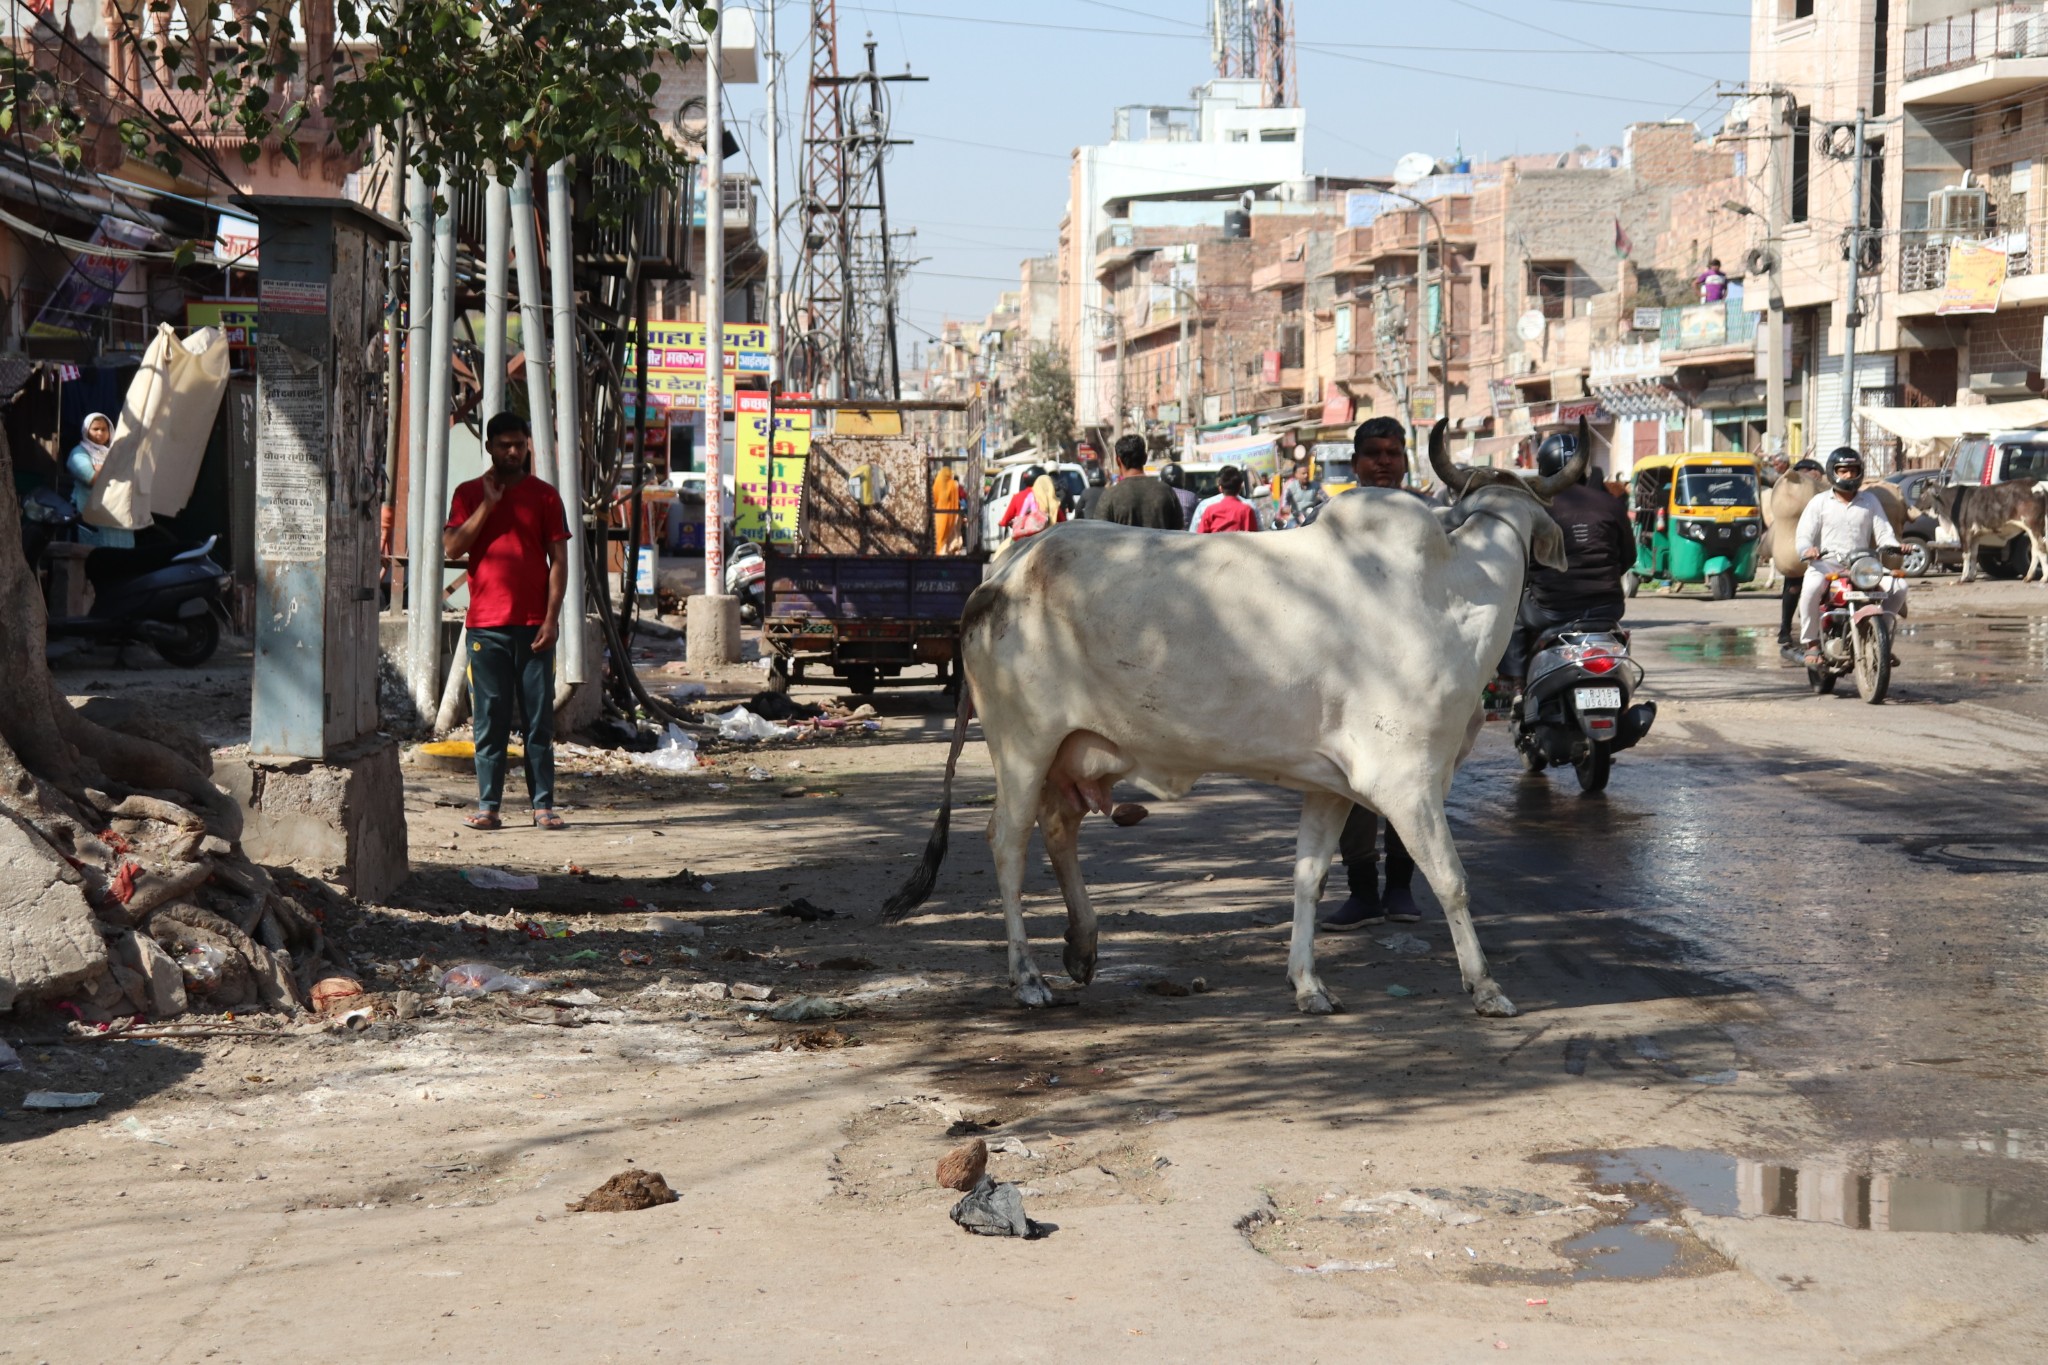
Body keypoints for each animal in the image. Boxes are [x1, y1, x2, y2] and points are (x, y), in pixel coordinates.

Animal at [880, 421, 1581, 1019]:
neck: (1452, 596)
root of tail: (1003, 570)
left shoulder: (1332, 786)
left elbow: (1308, 880)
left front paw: (1308, 985)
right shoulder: (1406, 783)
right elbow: (1453, 881)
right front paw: (1485, 987)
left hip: (1075, 749)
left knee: (1058, 828)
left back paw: (1082, 948)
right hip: (1022, 746)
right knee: (1007, 841)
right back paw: (1027, 978)